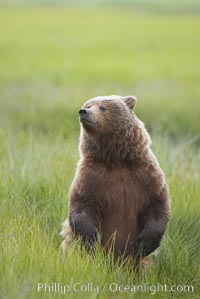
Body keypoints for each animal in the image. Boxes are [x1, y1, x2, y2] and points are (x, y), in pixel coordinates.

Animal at [61, 94, 170, 264]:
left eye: (102, 107)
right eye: (88, 105)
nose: (83, 111)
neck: (115, 159)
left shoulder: (146, 175)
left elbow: (157, 205)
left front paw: (143, 245)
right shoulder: (91, 177)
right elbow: (81, 204)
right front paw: (90, 239)